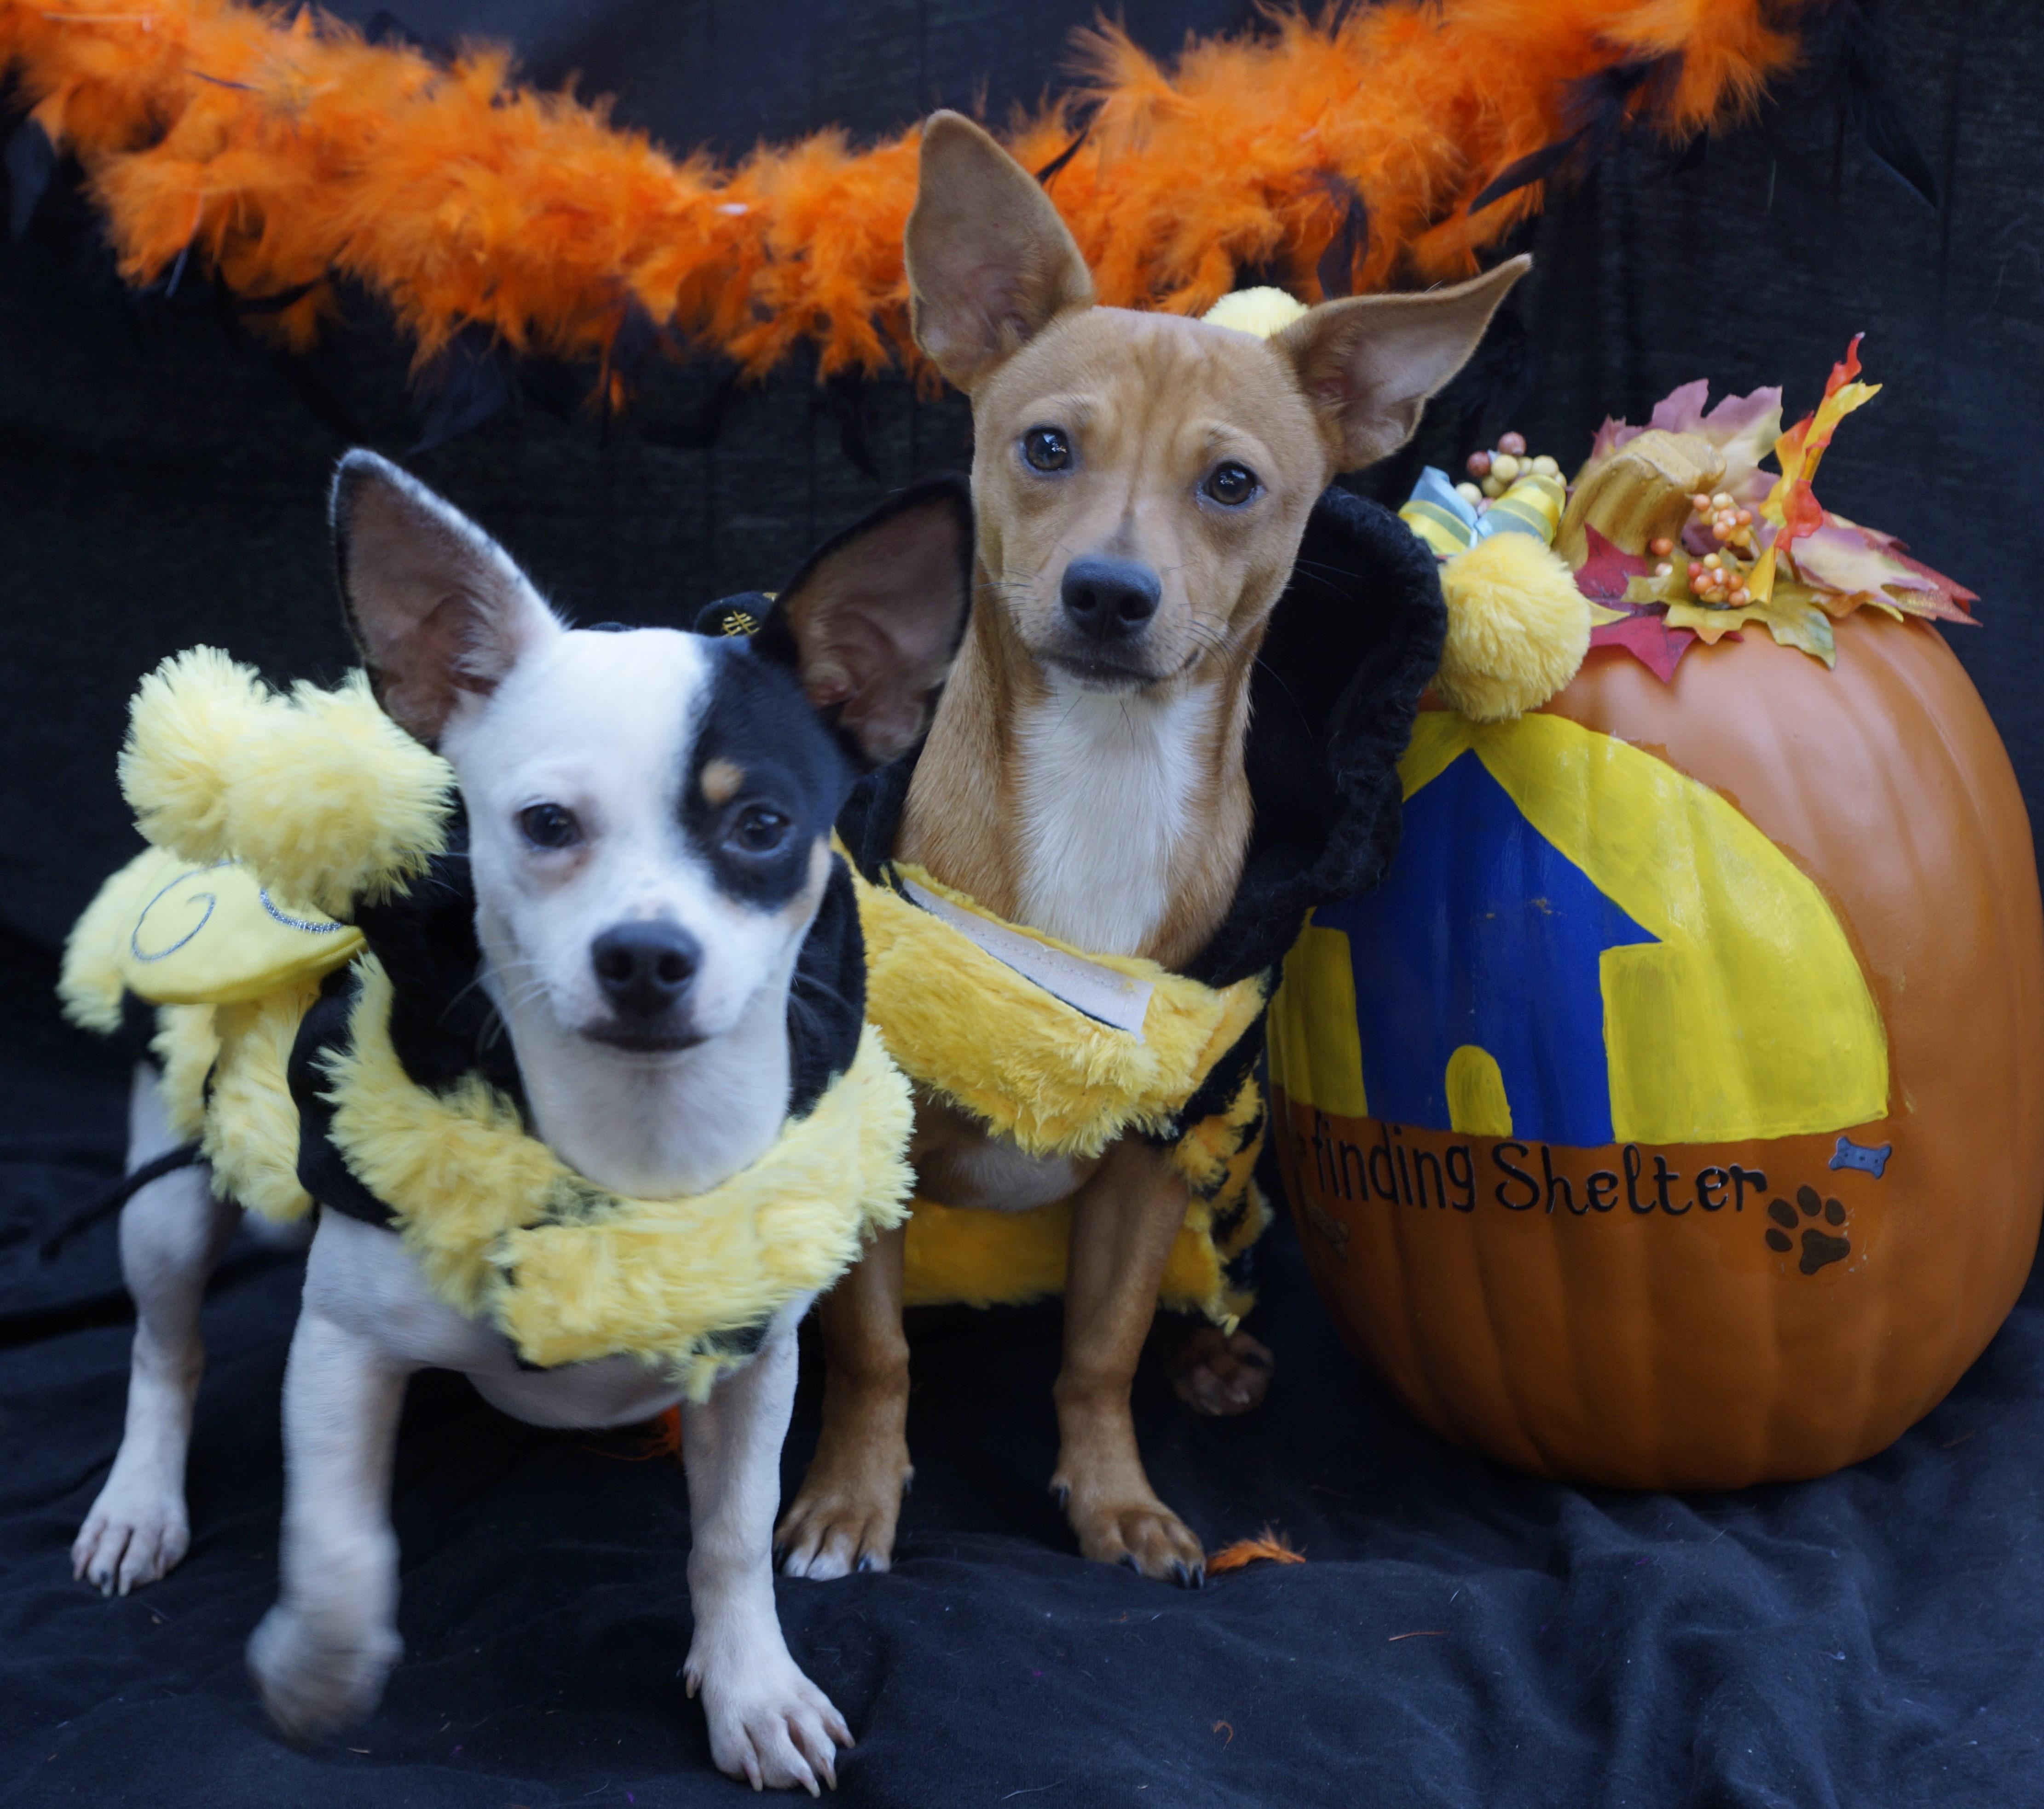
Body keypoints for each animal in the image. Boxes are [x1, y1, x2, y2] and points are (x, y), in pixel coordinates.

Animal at [70, 455, 973, 1791]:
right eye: (546, 824)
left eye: (761, 826)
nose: (645, 952)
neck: (628, 1149)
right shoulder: (342, 1347)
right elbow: (339, 1542)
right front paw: (320, 1666)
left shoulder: (756, 1363)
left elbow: (731, 1535)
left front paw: (750, 1685)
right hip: (174, 1186)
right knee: (163, 1347)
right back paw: (140, 1502)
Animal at [773, 113, 1529, 1578]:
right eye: (1045, 448)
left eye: (1231, 484)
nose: (1109, 594)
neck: (1102, 776)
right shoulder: (873, 1149)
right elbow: (878, 1352)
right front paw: (850, 1497)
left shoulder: (1144, 1162)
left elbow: (1098, 1352)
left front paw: (1115, 1498)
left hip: (1221, 1181)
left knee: (1184, 1297)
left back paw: (1217, 1356)